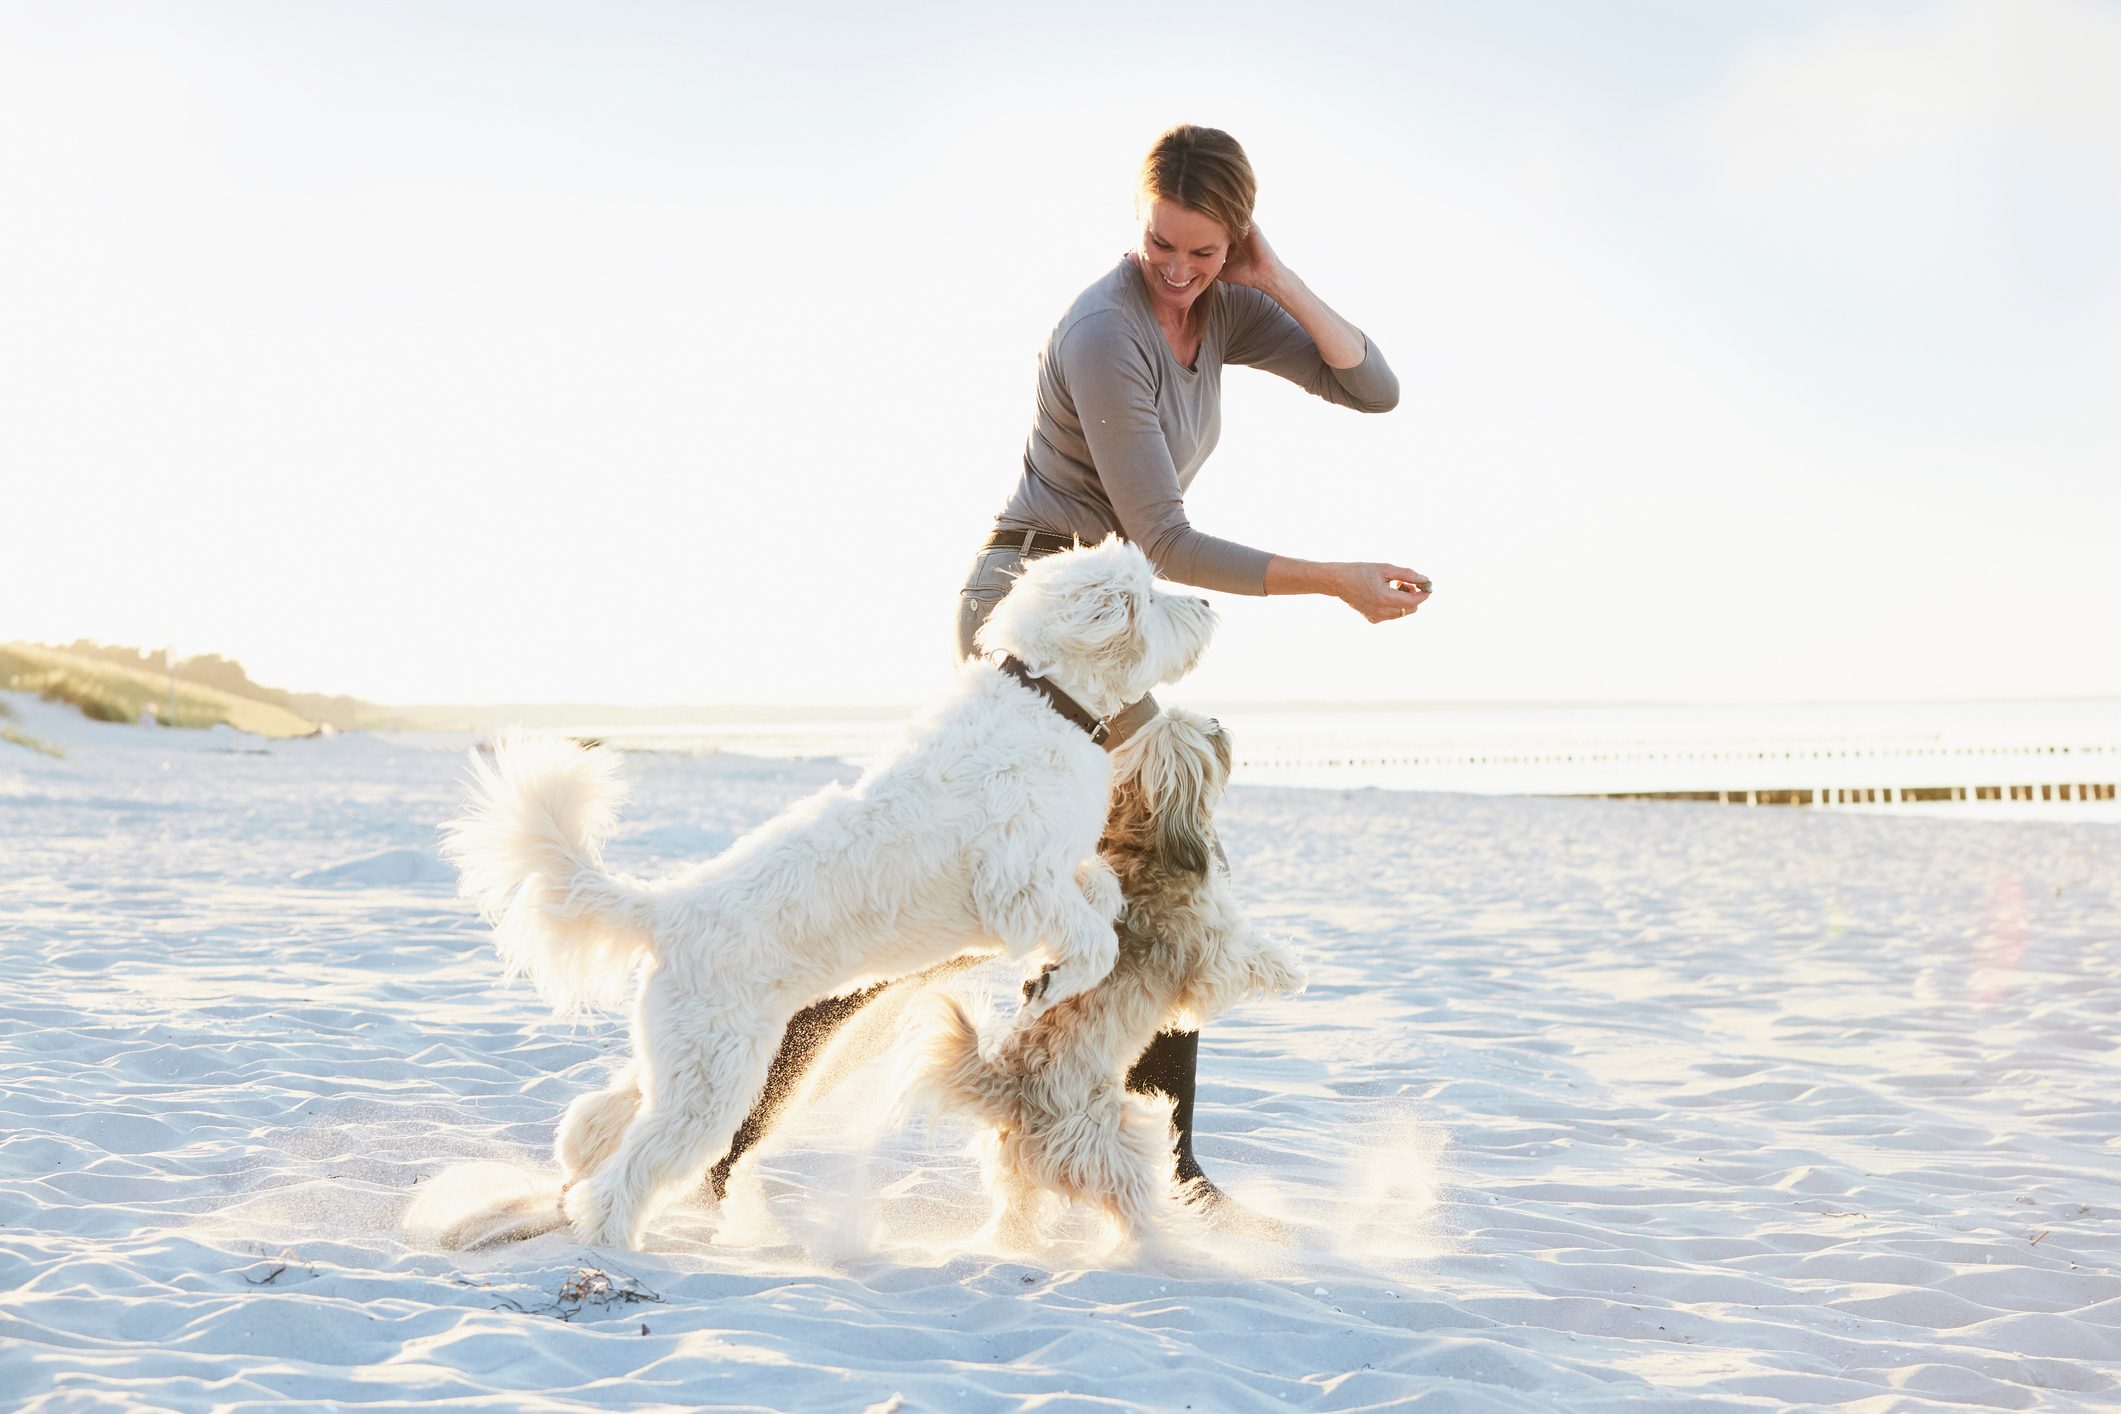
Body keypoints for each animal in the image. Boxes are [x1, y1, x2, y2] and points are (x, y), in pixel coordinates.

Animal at [439, 542, 1221, 1246]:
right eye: (1151, 595)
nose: (1210, 605)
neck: (1046, 701)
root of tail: (668, 910)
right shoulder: (1015, 881)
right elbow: (1092, 942)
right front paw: (1050, 985)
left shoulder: (1052, 871)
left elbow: (1098, 891)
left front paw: (1061, 957)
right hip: (713, 1080)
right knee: (631, 1170)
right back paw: (611, 1239)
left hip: (692, 1054)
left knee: (600, 1118)